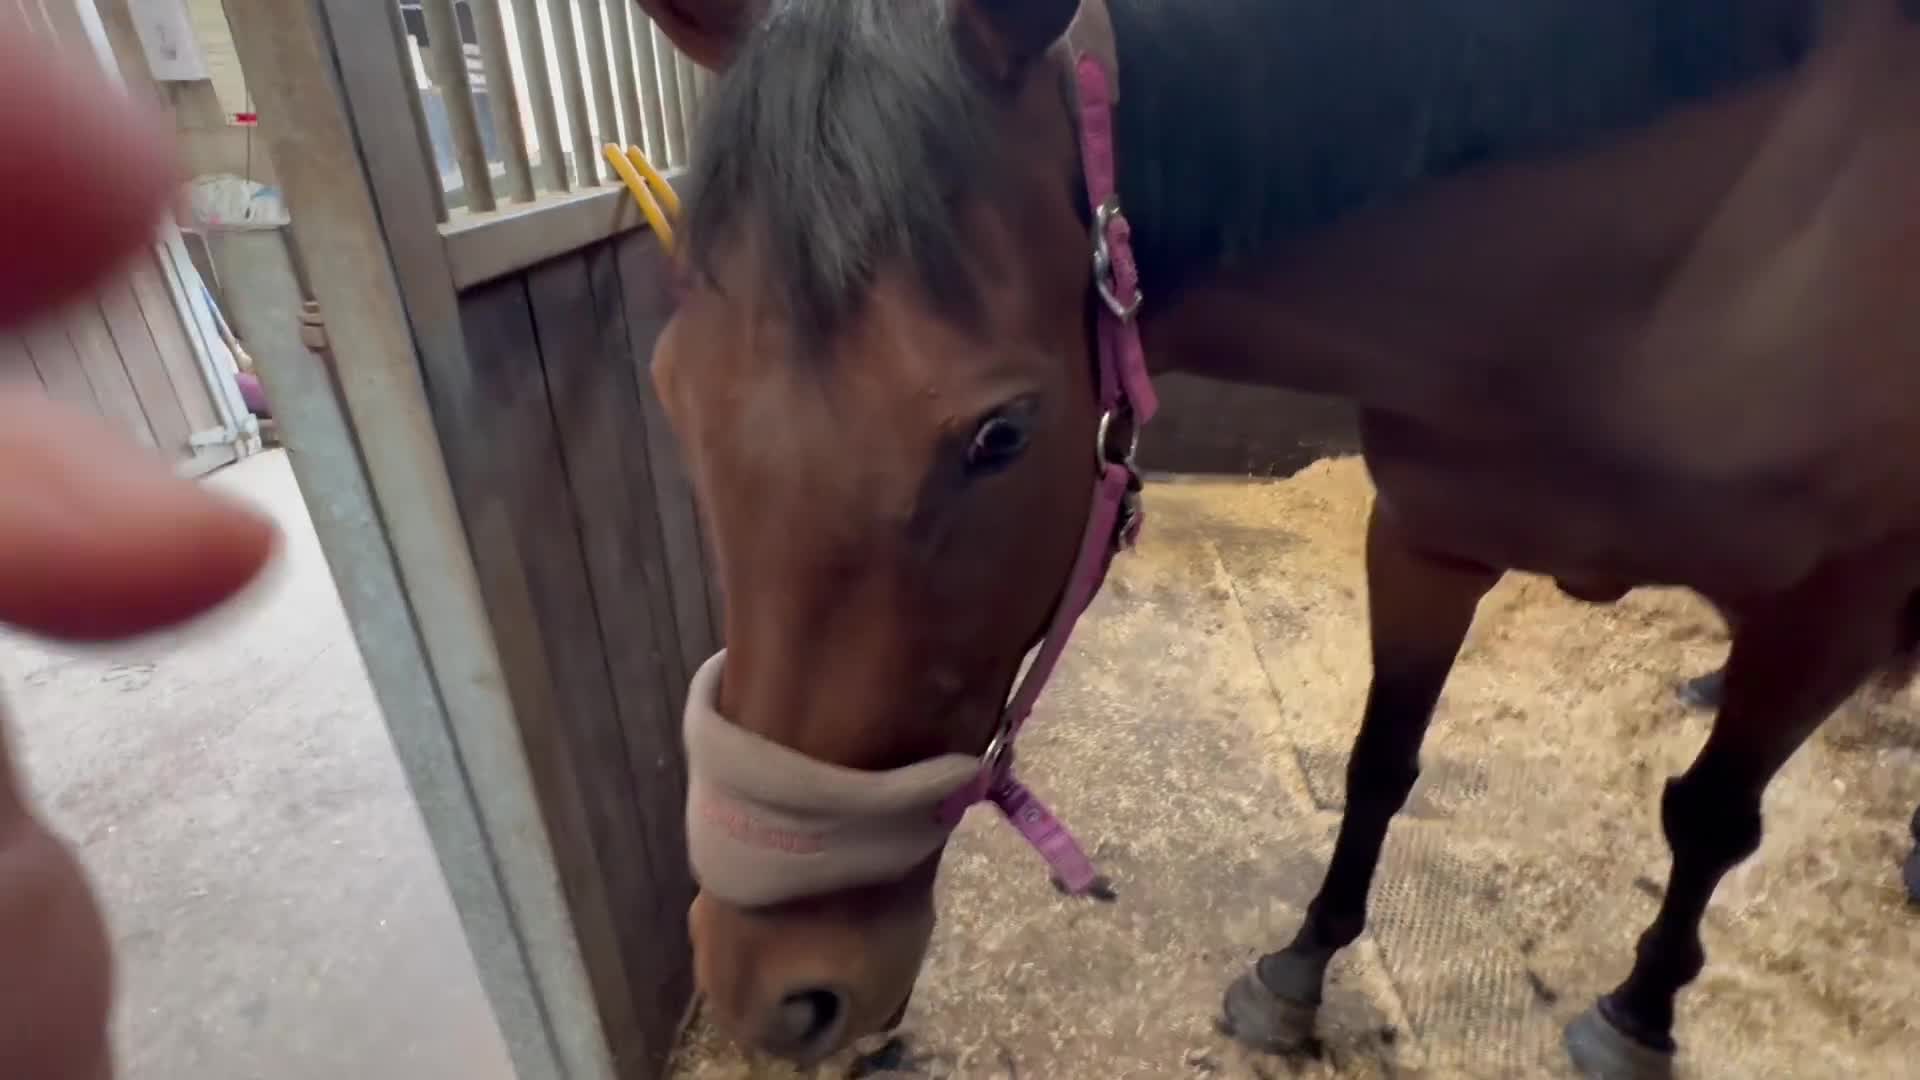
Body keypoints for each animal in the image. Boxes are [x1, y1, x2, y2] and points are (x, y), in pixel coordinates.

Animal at [636, 0, 1920, 1075]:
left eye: (1000, 436)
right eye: (671, 389)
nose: (771, 991)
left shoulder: (1829, 615)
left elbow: (1708, 821)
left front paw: (1636, 1016)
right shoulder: (1429, 538)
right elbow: (1376, 766)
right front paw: (1299, 970)